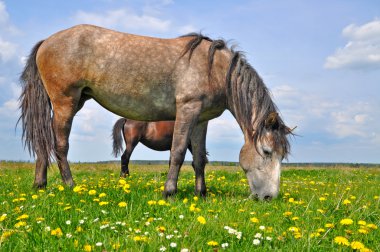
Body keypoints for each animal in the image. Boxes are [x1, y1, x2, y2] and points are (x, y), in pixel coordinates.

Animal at [18, 24, 290, 200]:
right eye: (266, 151)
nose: (269, 197)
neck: (214, 68)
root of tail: (47, 41)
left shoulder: (200, 120)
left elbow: (199, 158)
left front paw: (201, 194)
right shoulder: (187, 111)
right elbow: (178, 153)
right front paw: (170, 192)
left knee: (43, 140)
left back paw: (40, 185)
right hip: (65, 103)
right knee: (60, 145)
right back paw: (70, 186)